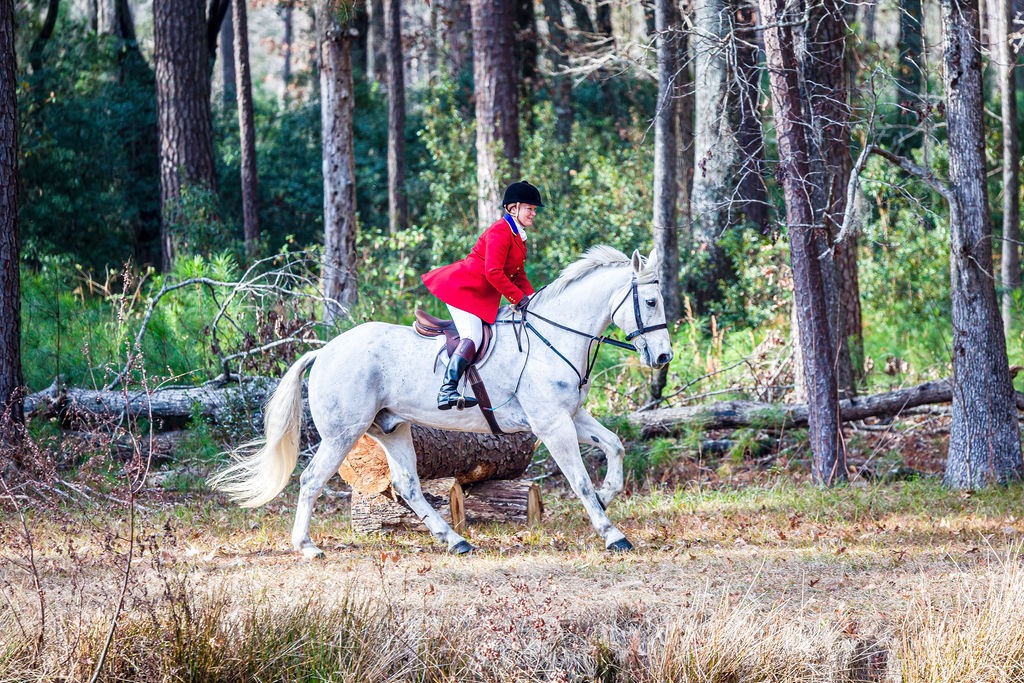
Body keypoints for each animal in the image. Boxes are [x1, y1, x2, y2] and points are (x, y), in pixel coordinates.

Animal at [210, 246, 674, 558]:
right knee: (310, 481)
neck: (554, 338)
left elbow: (614, 445)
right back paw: (307, 546)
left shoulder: (571, 415)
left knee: (407, 485)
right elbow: (578, 479)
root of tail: (323, 351)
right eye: (651, 301)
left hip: (391, 428)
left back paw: (455, 540)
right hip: (344, 433)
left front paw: (608, 493)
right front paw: (613, 533)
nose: (664, 358)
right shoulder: (552, 424)